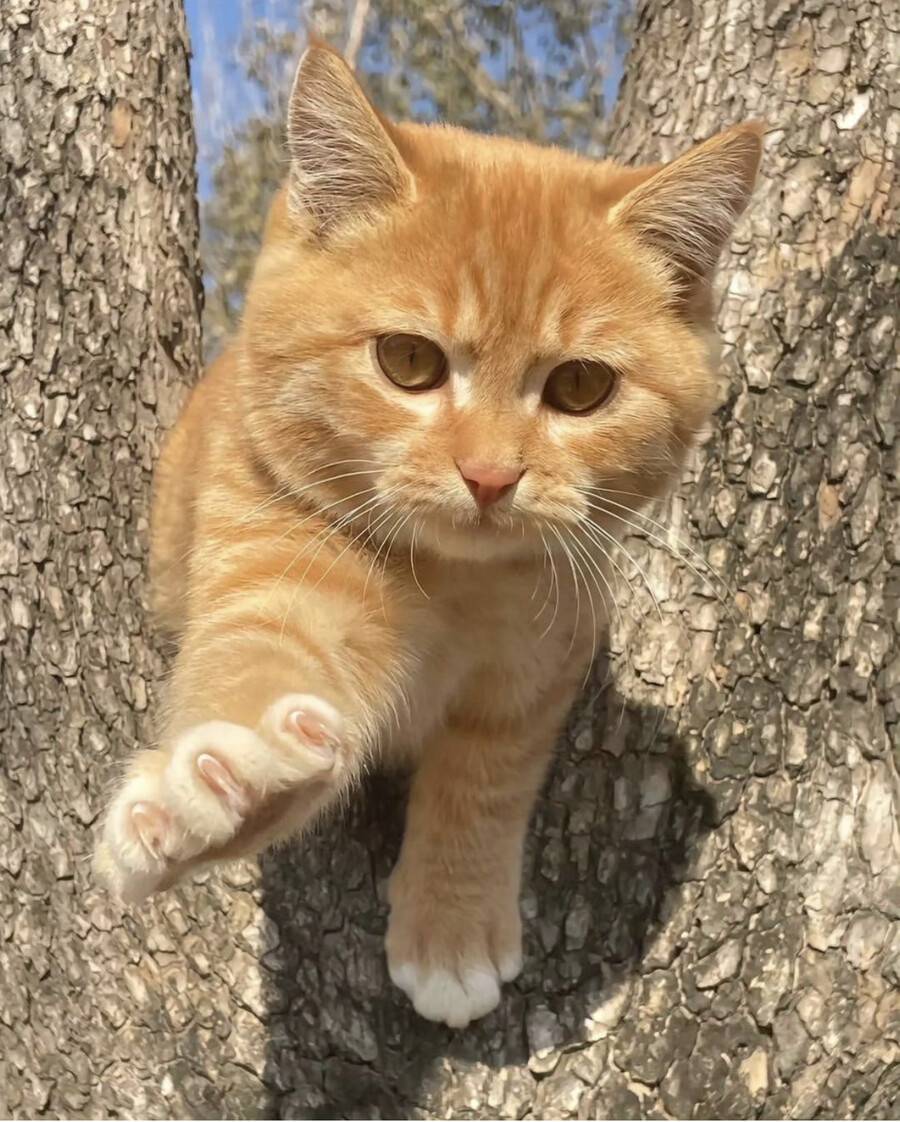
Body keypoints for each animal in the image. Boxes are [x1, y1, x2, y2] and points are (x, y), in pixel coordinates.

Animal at [96, 41, 758, 1027]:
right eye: (408, 362)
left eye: (581, 387)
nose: (490, 476)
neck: (455, 588)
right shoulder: (273, 571)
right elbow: (256, 665)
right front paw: (222, 789)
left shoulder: (540, 670)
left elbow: (483, 787)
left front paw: (451, 930)